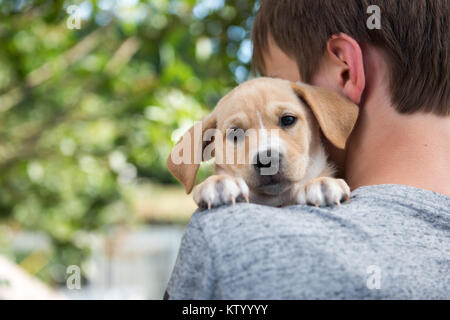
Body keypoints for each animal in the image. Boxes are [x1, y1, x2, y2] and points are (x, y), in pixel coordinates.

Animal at [166, 78, 358, 210]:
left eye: (288, 119)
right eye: (235, 133)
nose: (267, 160)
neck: (277, 201)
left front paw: (321, 182)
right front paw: (218, 182)